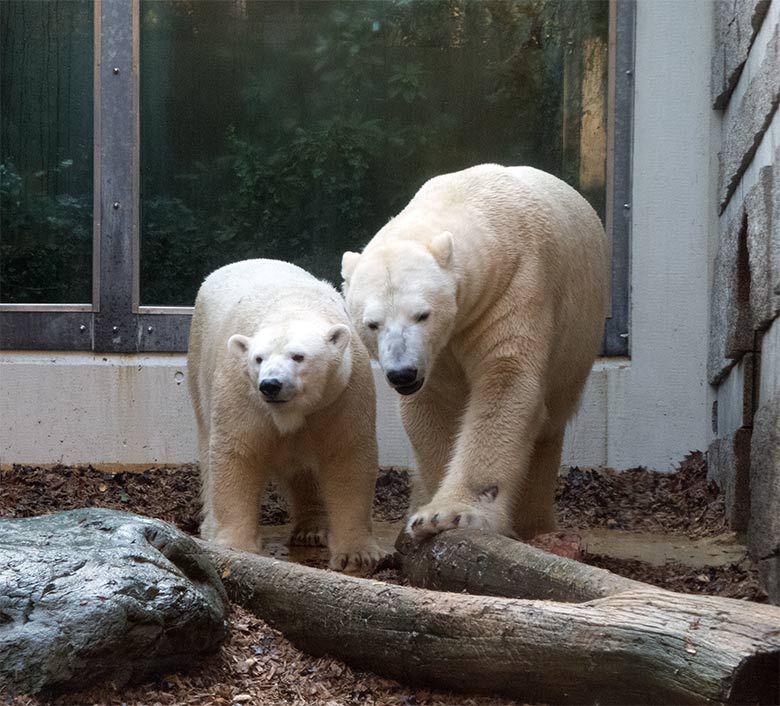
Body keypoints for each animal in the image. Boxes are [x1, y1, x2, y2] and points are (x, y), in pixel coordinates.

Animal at [187, 256, 386, 568]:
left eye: (298, 356)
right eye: (258, 358)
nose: (270, 385)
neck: (291, 307)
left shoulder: (342, 395)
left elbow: (347, 456)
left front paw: (357, 553)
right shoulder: (241, 393)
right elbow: (238, 452)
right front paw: (236, 545)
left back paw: (312, 529)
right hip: (199, 363)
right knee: (206, 443)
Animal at [342, 164, 608, 540]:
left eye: (422, 314)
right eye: (372, 323)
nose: (402, 374)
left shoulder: (514, 289)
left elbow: (505, 383)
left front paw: (449, 514)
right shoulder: (436, 354)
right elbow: (435, 408)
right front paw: (426, 512)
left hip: (576, 343)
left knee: (548, 427)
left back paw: (534, 524)